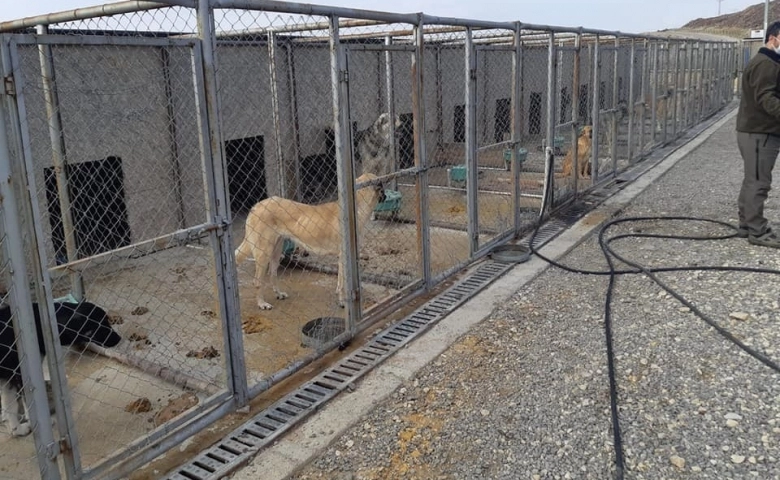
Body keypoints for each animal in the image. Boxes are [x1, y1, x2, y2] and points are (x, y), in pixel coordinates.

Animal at [0, 302, 121, 436]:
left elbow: (9, 406)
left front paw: (17, 430)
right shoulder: (23, 376)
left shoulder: (8, 378)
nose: (119, 338)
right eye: (99, 325)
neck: (42, 323)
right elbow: (28, 405)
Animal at [235, 174, 386, 310]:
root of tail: (256, 206)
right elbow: (343, 284)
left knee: (273, 275)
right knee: (257, 281)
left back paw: (279, 294)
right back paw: (262, 304)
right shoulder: (344, 256)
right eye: (382, 187)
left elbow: (340, 281)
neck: (358, 204)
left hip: (276, 251)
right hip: (263, 253)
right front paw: (343, 302)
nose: (386, 196)